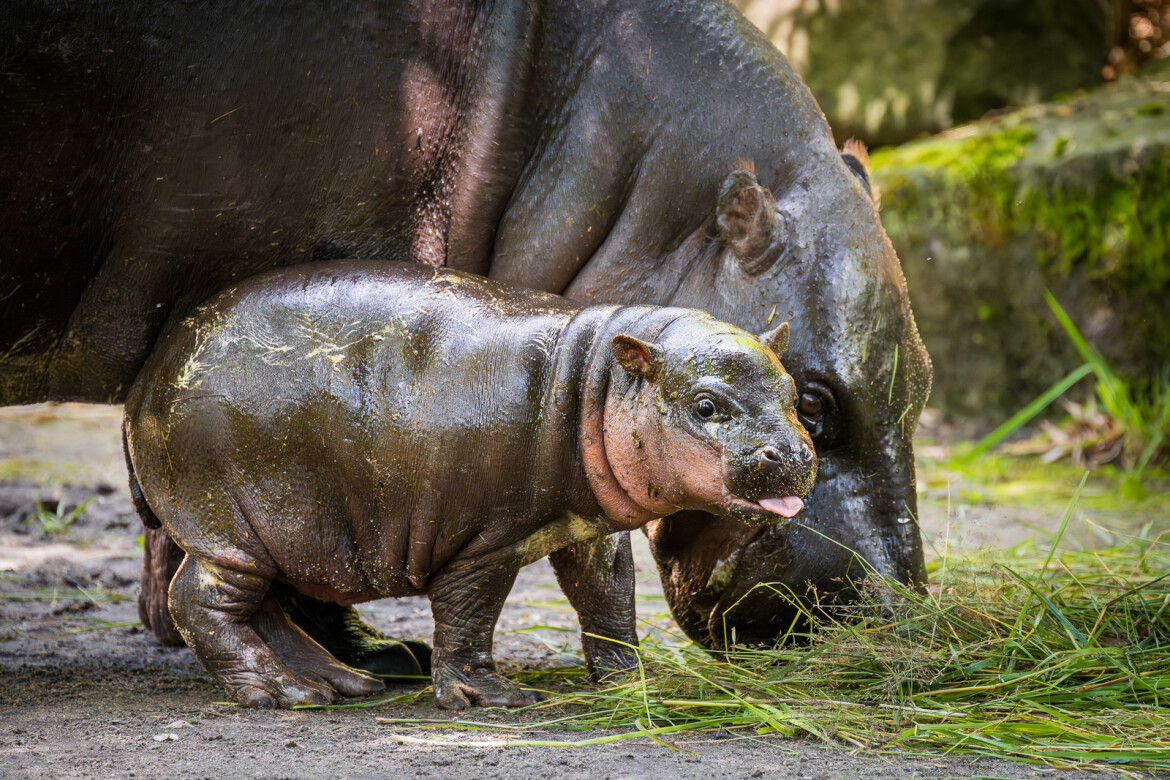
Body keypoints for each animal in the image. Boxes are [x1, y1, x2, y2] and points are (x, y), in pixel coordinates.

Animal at [121, 264, 814, 715]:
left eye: (795, 392)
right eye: (706, 405)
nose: (793, 453)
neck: (593, 384)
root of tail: (143, 383)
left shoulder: (591, 530)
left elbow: (609, 599)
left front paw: (633, 683)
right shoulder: (483, 542)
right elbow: (469, 616)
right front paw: (493, 698)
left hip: (283, 537)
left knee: (266, 608)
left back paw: (339, 685)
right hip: (232, 527)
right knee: (201, 603)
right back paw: (277, 694)